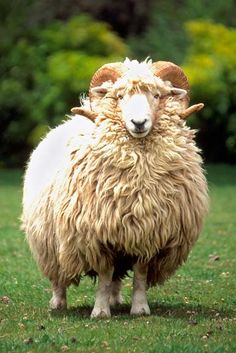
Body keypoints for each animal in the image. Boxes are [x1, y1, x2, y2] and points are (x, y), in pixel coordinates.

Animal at [21, 57, 208, 316]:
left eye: (157, 95)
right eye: (120, 96)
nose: (138, 123)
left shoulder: (147, 234)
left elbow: (139, 275)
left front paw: (139, 308)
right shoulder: (97, 236)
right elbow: (104, 275)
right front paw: (100, 312)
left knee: (117, 278)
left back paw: (116, 300)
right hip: (49, 240)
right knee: (59, 275)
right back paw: (58, 303)